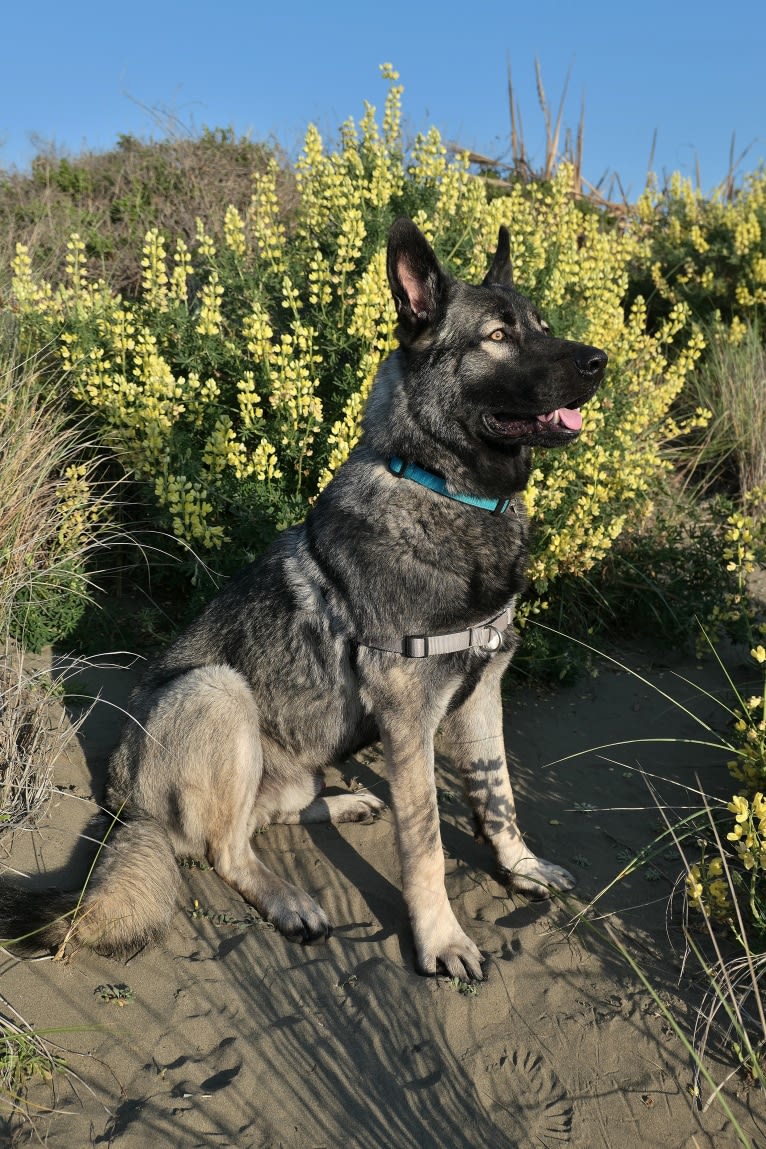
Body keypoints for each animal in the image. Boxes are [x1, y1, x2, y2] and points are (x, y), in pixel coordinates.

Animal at [2, 219, 606, 983]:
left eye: (543, 326)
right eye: (498, 336)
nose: (599, 362)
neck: (445, 489)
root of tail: (123, 804)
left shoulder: (482, 690)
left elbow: (498, 801)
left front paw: (520, 868)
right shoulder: (411, 717)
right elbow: (428, 845)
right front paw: (439, 939)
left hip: (284, 761)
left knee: (268, 815)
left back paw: (341, 802)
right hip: (218, 691)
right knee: (226, 848)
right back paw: (289, 899)